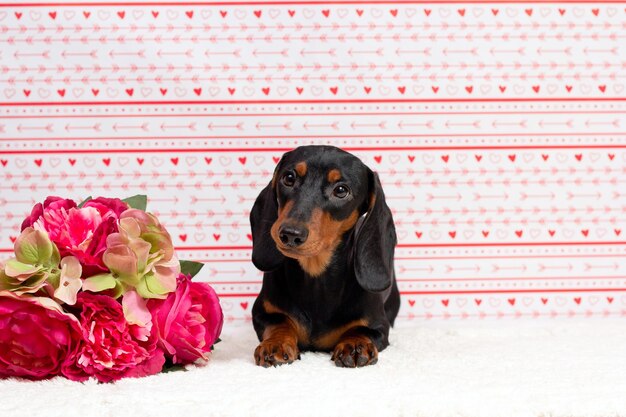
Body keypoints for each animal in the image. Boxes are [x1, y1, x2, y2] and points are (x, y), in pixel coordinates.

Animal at [249, 145, 400, 366]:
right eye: (289, 178)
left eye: (341, 190)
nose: (290, 234)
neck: (316, 278)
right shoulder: (263, 311)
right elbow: (279, 323)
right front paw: (276, 343)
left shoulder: (378, 325)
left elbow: (361, 329)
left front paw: (355, 344)